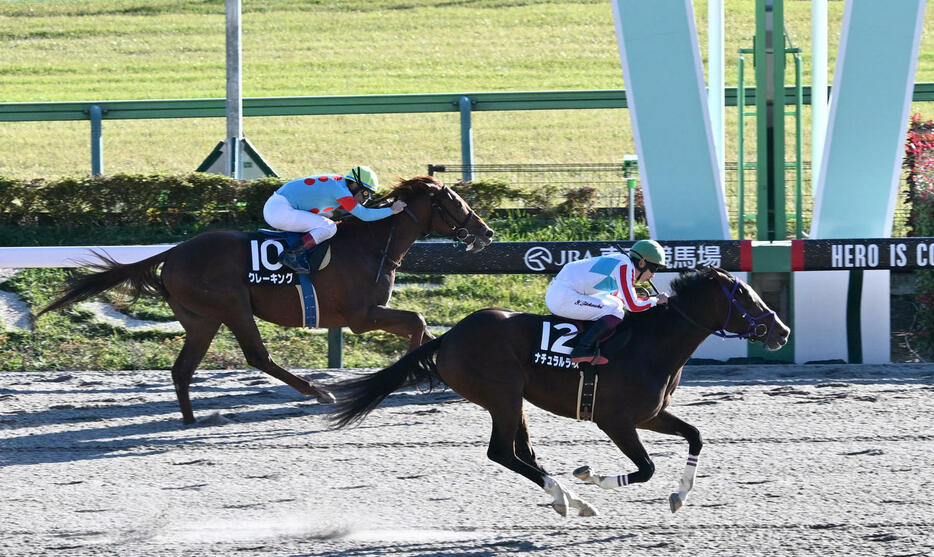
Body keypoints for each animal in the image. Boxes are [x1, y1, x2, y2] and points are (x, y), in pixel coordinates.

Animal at [39, 176, 494, 424]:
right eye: (456, 203)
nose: (486, 232)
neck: (369, 245)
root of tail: (174, 252)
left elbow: (423, 328)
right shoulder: (362, 315)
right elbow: (417, 320)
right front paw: (414, 375)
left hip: (201, 319)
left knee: (183, 368)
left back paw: (190, 419)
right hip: (233, 307)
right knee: (257, 356)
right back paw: (318, 392)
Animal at [330, 268, 788, 516]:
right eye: (745, 297)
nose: (781, 331)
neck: (650, 345)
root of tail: (448, 337)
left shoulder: (650, 415)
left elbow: (695, 436)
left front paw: (679, 495)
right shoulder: (615, 421)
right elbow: (645, 469)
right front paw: (590, 475)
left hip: (513, 401)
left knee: (522, 453)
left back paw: (570, 500)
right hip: (502, 395)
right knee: (502, 452)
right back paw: (567, 498)